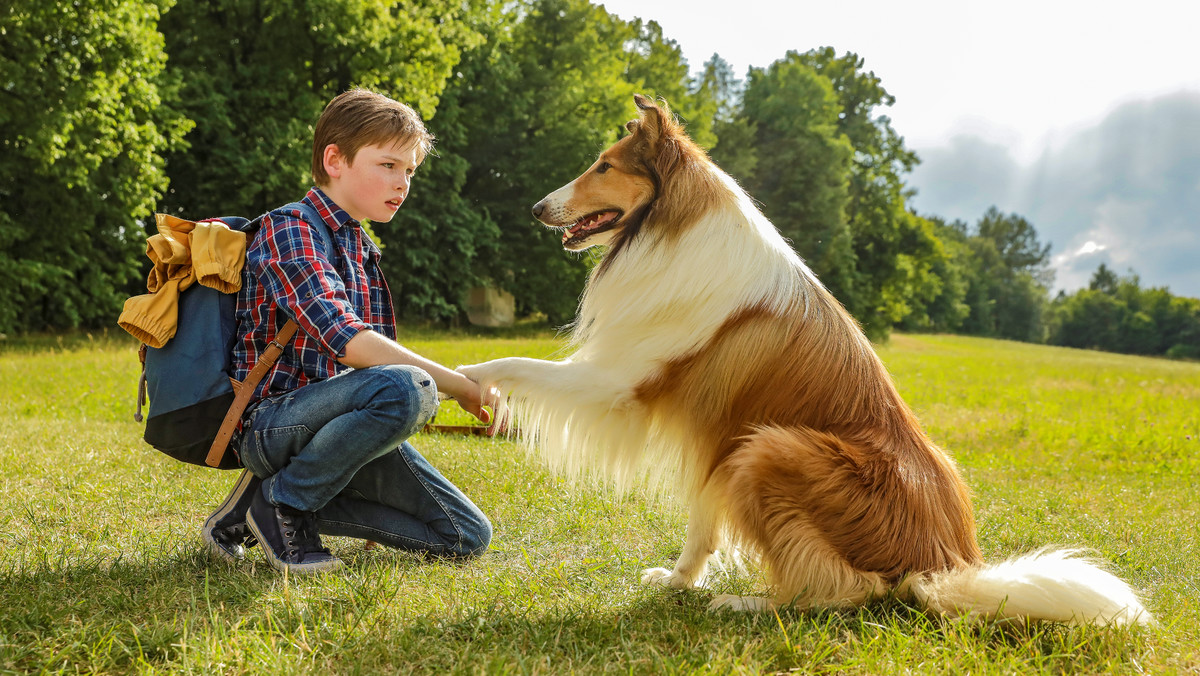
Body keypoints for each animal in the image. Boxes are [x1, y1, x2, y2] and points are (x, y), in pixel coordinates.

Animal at [453, 92, 1147, 629]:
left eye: (603, 166)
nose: (535, 209)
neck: (671, 229)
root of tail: (942, 564)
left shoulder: (620, 384)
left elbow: (515, 363)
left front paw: (464, 379)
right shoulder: (716, 440)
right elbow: (701, 526)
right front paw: (677, 582)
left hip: (771, 448)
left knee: (846, 592)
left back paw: (747, 604)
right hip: (766, 451)